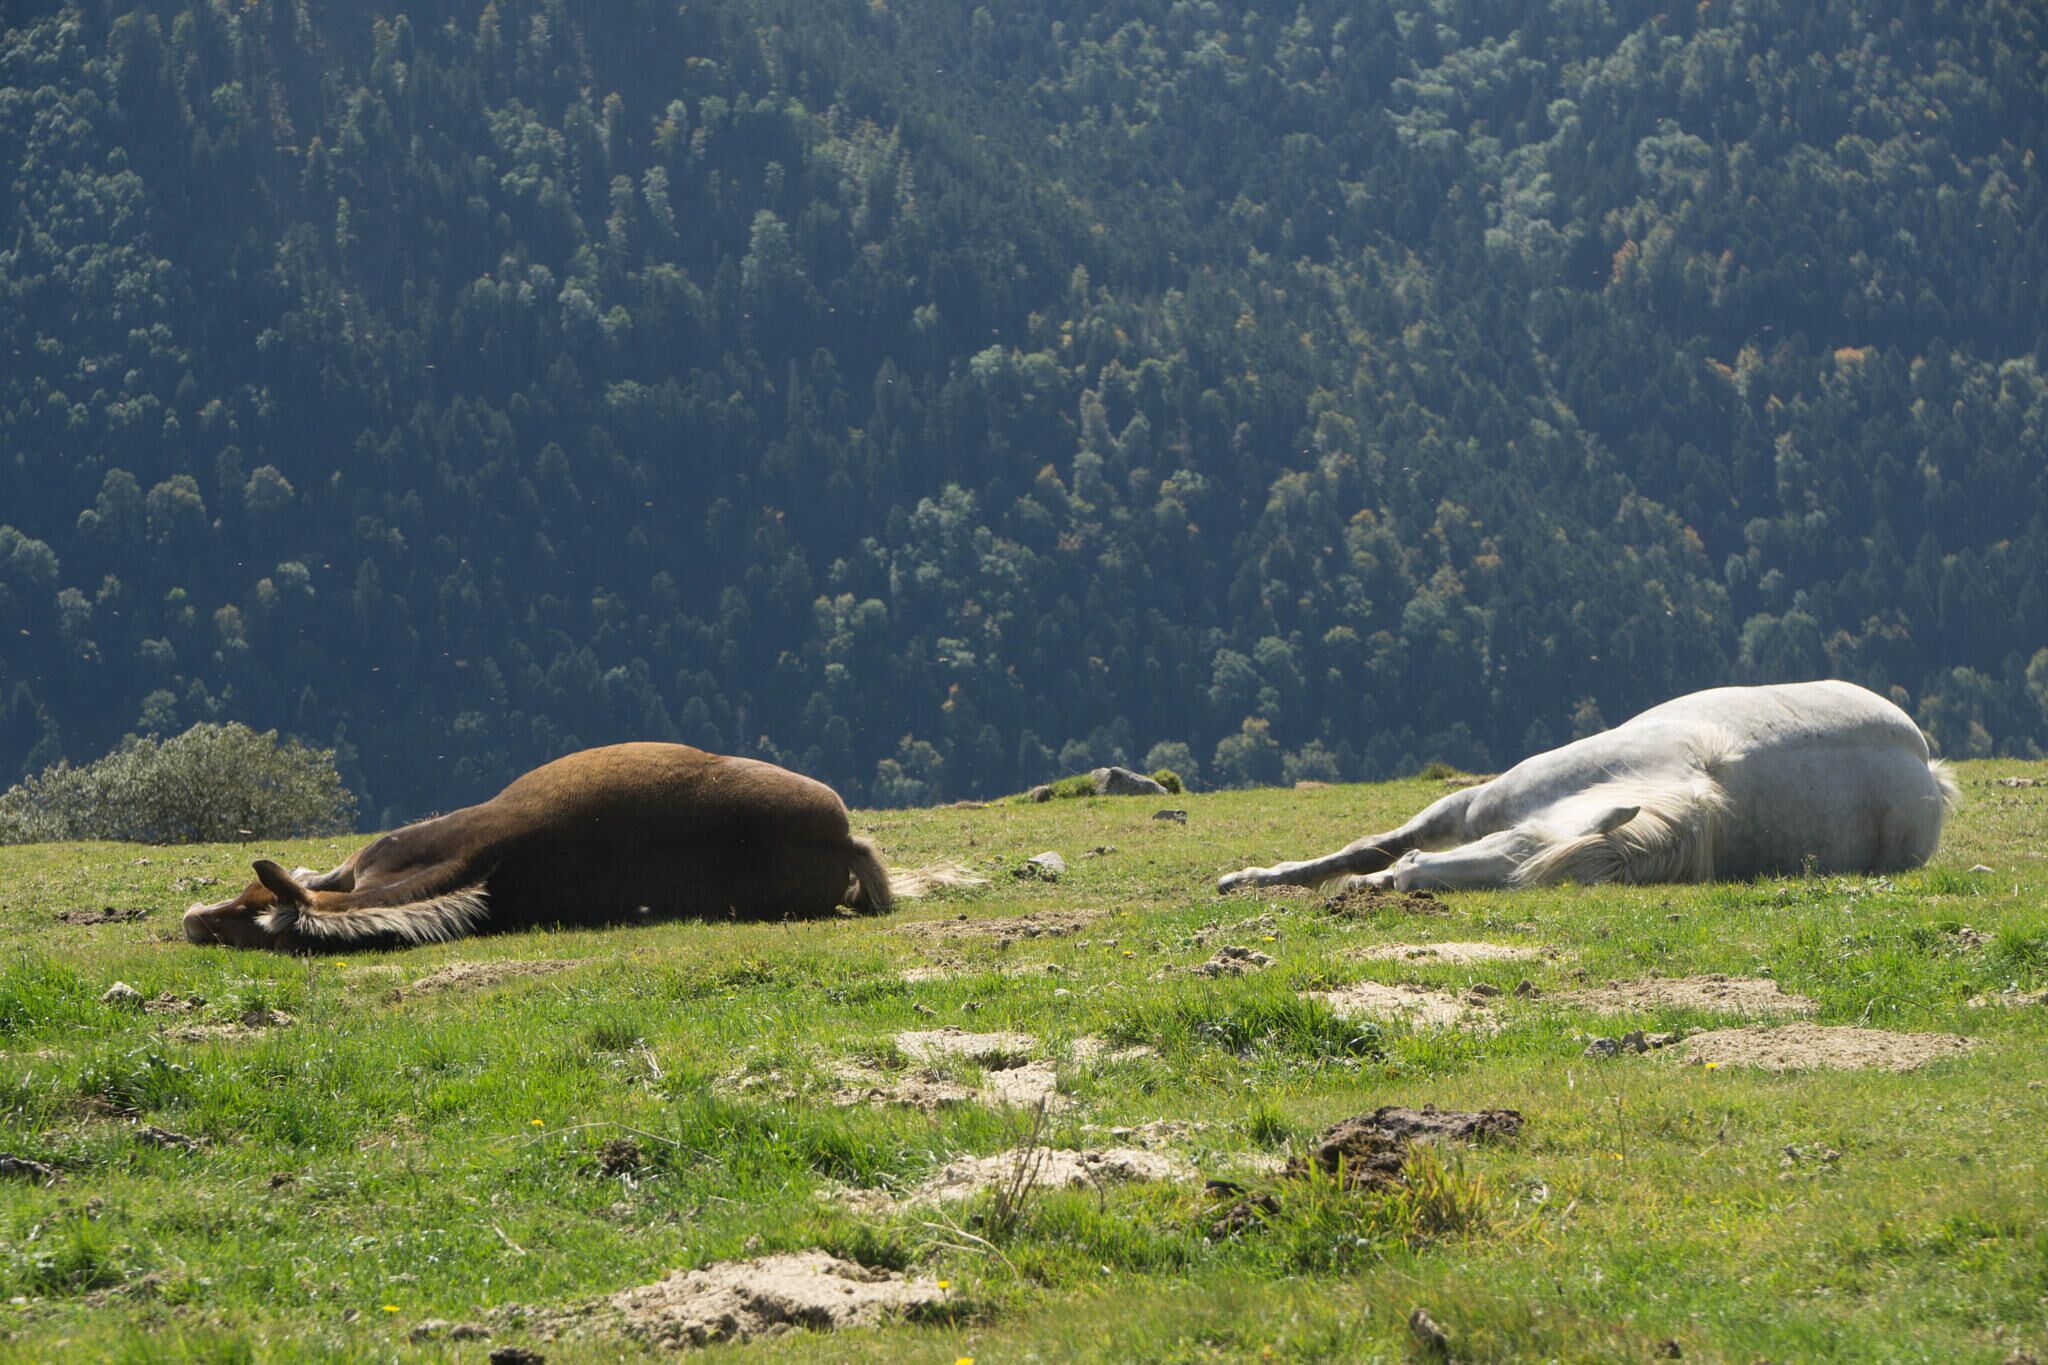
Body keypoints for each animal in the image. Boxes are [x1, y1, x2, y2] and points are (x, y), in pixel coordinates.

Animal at [1218, 681, 1956, 894]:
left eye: (1512, 872)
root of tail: (1930, 769)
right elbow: (1368, 844)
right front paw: (1253, 878)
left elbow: (1376, 850)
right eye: (1515, 841)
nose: (1404, 884)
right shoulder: (1468, 808)